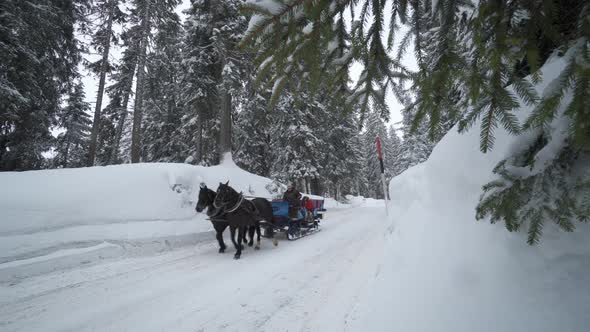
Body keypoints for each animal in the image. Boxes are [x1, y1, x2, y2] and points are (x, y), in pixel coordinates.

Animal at [195, 182, 324, 260]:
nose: (197, 208)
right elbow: (230, 238)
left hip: (267, 219)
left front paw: (237, 251)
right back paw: (255, 243)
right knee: (257, 231)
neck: (236, 208)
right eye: (217, 191)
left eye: (224, 191)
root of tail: (266, 201)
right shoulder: (231, 225)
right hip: (257, 221)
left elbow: (234, 238)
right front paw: (232, 248)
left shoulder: (235, 225)